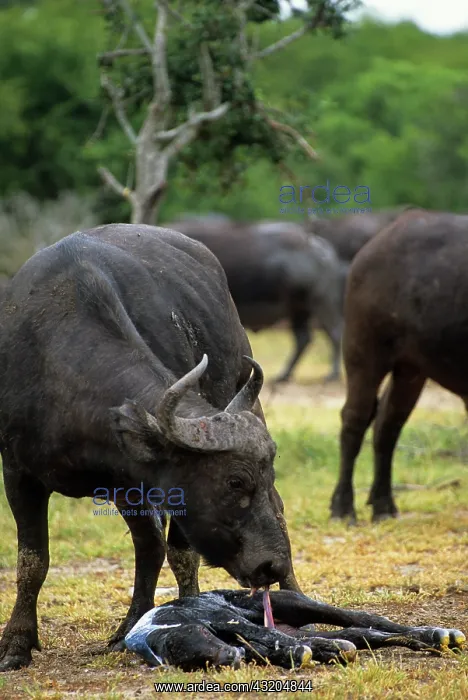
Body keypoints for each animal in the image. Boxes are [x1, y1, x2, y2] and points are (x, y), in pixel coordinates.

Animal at [0, 223, 300, 672]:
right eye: (234, 481)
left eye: (263, 475)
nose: (272, 565)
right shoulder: (21, 474)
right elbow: (32, 561)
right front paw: (17, 643)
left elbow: (180, 552)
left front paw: (191, 612)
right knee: (148, 546)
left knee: (270, 510)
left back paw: (293, 592)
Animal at [168, 217, 345, 383]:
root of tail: (322, 249)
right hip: (299, 309)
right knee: (303, 339)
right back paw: (284, 375)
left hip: (320, 302)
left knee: (334, 333)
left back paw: (332, 374)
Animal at [330, 209, 468, 522]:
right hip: (363, 354)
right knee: (355, 420)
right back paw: (343, 507)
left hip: (410, 370)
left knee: (387, 425)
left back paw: (383, 504)